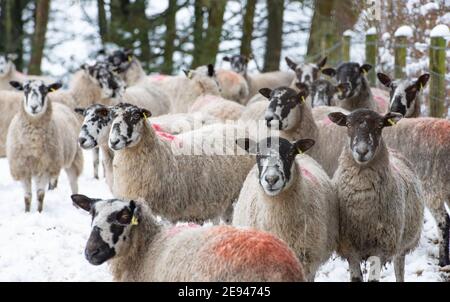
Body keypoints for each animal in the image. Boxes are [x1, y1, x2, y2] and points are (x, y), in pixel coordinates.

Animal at [6, 80, 83, 212]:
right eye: (24, 89)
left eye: (45, 90)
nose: (34, 107)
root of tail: (59, 104)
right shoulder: (22, 167)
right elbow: (27, 196)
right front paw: (27, 212)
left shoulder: (46, 167)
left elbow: (40, 194)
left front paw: (39, 212)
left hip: (73, 157)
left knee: (74, 183)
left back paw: (76, 206)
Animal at [105, 104, 253, 224]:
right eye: (111, 117)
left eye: (136, 116)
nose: (114, 142)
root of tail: (235, 126)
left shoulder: (169, 209)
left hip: (236, 194)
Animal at [328, 109, 424, 282]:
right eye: (348, 124)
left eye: (380, 125)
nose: (362, 151)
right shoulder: (349, 247)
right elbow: (356, 278)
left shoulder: (381, 247)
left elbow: (373, 279)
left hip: (401, 245)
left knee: (399, 270)